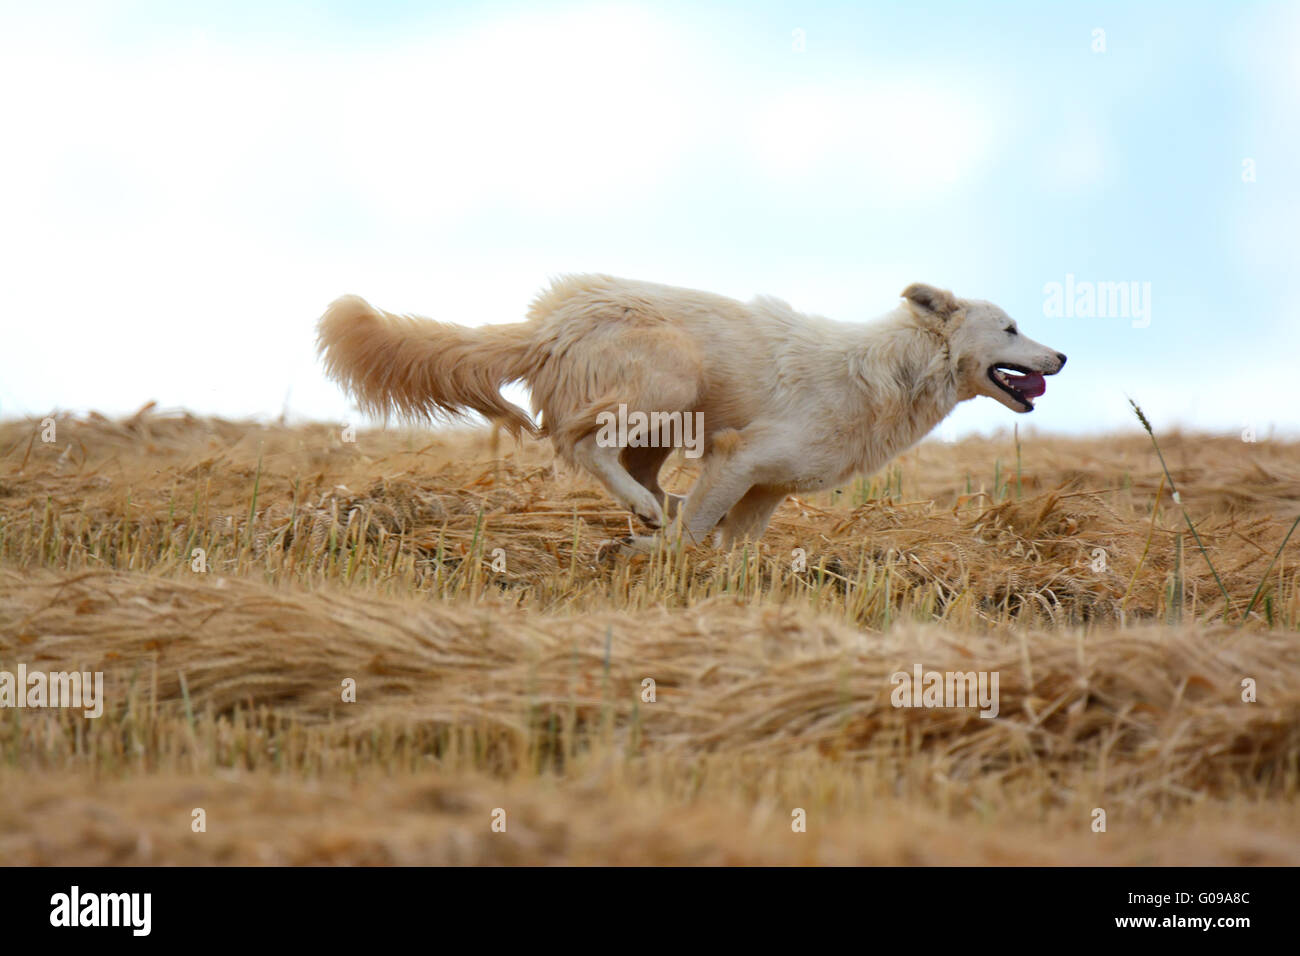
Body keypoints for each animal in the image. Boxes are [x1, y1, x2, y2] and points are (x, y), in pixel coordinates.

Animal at [317, 273, 1066, 548]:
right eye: (1010, 328)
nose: (1060, 358)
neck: (892, 370)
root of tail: (551, 323)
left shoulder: (766, 489)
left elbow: (729, 549)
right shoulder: (742, 458)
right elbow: (695, 537)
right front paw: (652, 553)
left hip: (666, 425)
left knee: (632, 470)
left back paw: (653, 508)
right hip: (673, 377)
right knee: (578, 443)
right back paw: (645, 516)